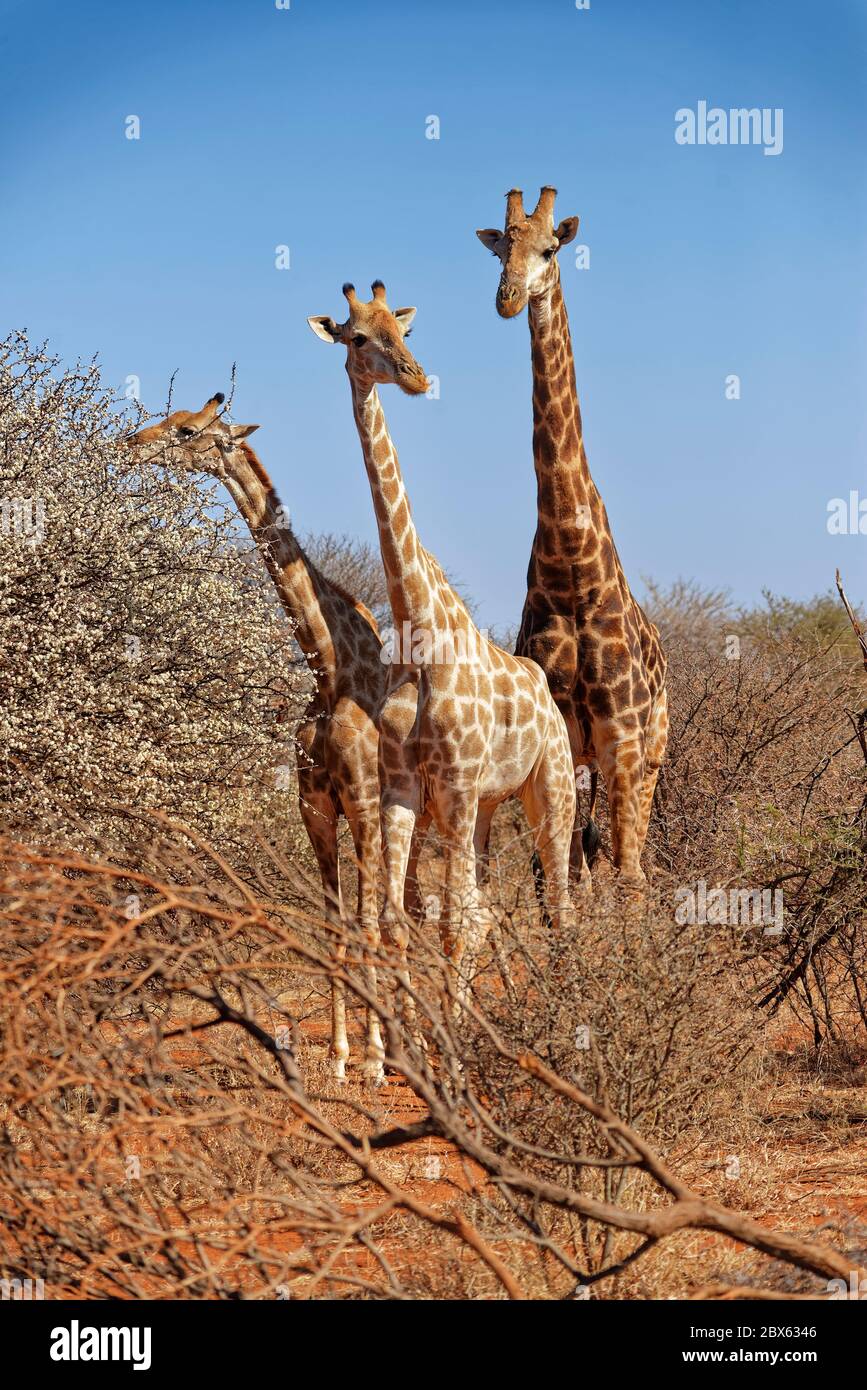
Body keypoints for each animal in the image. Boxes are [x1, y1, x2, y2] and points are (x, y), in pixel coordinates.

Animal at [127, 393, 427, 1082]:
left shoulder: (363, 801)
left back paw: (414, 1047)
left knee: (406, 916)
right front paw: (342, 1057)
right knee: (408, 912)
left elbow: (366, 921)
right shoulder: (315, 805)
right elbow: (335, 922)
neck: (331, 666)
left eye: (188, 430)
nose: (132, 444)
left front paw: (373, 1061)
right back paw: (412, 1043)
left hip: (413, 814)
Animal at [308, 282, 576, 996]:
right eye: (357, 338)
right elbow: (402, 920)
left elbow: (452, 924)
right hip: (485, 805)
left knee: (560, 906)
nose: (416, 376)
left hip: (551, 788)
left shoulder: (454, 783)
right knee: (487, 910)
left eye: (401, 330)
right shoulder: (405, 786)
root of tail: (547, 691)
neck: (418, 628)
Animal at [477, 187, 669, 886]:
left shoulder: (625, 743)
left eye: (550, 250)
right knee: (578, 860)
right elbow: (552, 872)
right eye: (500, 248)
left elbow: (630, 877)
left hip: (650, 755)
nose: (508, 297)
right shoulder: (560, 731)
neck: (572, 562)